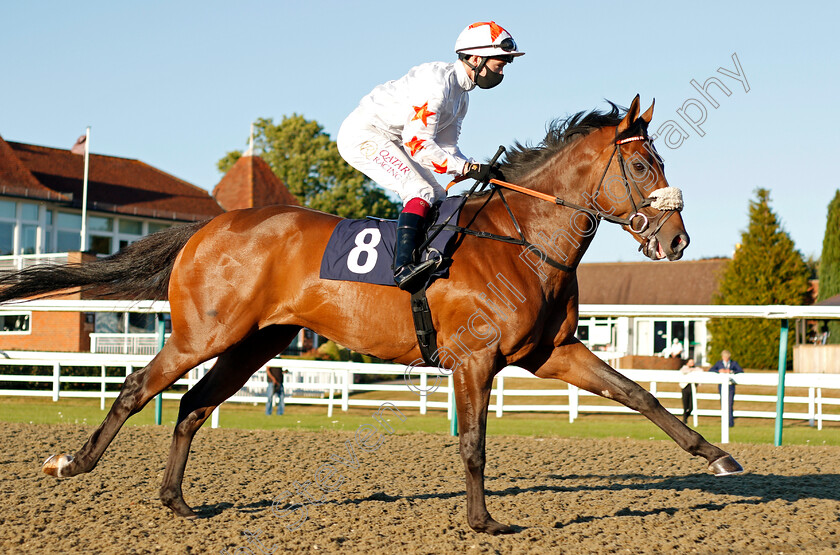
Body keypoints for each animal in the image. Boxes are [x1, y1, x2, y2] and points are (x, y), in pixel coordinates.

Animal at [1, 95, 740, 536]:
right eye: (642, 165)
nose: (677, 240)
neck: (521, 239)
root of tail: (206, 228)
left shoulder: (551, 352)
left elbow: (640, 394)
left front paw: (719, 455)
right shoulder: (474, 359)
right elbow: (474, 443)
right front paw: (483, 521)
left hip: (254, 342)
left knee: (190, 405)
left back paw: (176, 499)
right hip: (204, 333)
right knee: (137, 388)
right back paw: (72, 463)